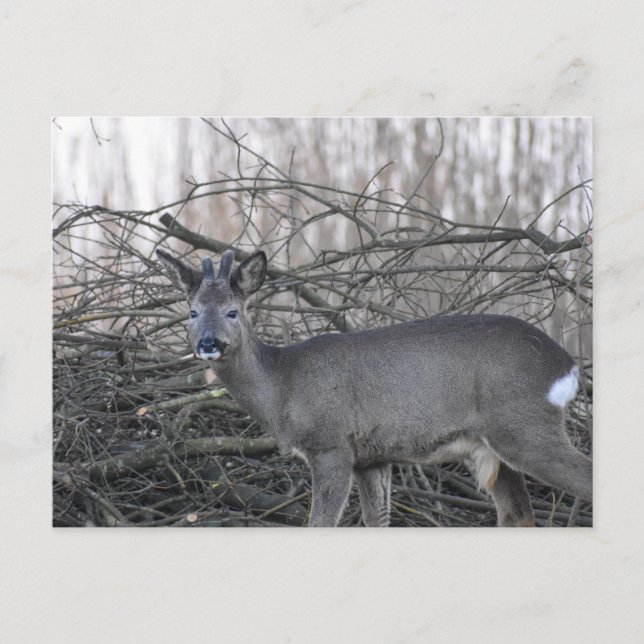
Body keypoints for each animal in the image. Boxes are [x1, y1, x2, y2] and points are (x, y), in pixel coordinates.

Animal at [156, 247, 592, 527]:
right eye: (192, 312)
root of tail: (566, 365)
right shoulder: (372, 458)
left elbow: (320, 525)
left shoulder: (331, 444)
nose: (208, 343)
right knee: (518, 514)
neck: (283, 387)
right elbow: (376, 521)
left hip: (523, 426)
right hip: (491, 446)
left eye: (233, 311)